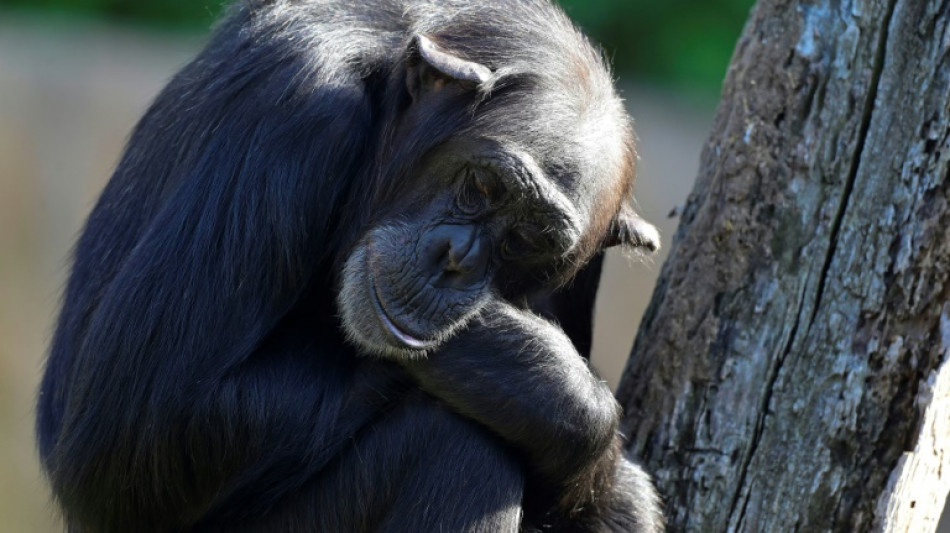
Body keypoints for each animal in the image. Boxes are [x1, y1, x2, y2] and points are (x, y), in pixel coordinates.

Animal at [35, 2, 660, 528]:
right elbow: (142, 419)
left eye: (528, 239)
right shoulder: (297, 111)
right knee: (454, 445)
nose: (456, 261)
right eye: (484, 186)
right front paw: (529, 371)